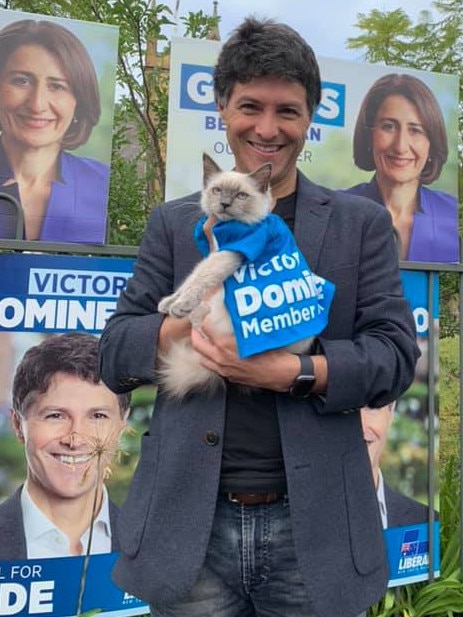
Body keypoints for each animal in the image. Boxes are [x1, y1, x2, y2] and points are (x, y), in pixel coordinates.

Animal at [158, 152, 314, 398]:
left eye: (241, 195)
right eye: (217, 190)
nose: (224, 204)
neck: (225, 228)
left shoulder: (228, 254)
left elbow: (200, 279)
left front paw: (179, 305)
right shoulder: (215, 253)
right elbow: (190, 278)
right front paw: (169, 302)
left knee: (200, 321)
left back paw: (194, 312)